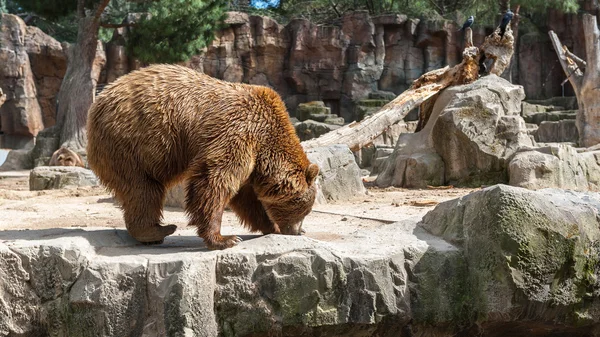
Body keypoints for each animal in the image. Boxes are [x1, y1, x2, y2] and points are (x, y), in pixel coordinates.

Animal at [88, 63, 318, 249]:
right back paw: (159, 230)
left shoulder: (252, 161)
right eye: (304, 209)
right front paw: (225, 239)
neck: (266, 142)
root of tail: (99, 100)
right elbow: (215, 180)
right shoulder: (239, 132)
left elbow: (246, 198)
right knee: (143, 188)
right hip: (134, 141)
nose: (297, 231)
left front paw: (271, 227)